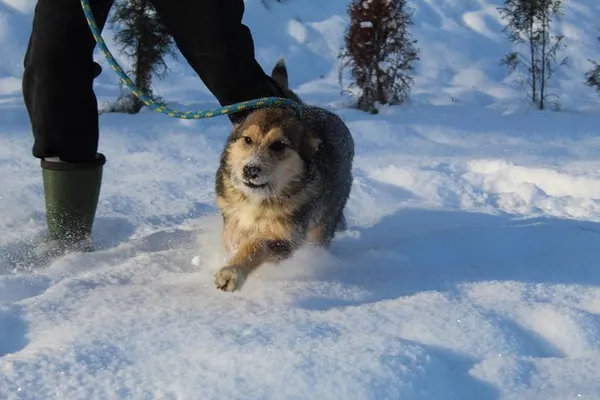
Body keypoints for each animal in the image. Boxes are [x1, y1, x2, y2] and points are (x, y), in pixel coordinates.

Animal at [213, 58, 354, 290]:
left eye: (279, 145)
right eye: (247, 140)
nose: (250, 170)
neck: (258, 200)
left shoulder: (287, 238)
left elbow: (256, 244)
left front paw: (232, 272)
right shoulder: (231, 214)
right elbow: (231, 237)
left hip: (325, 219)